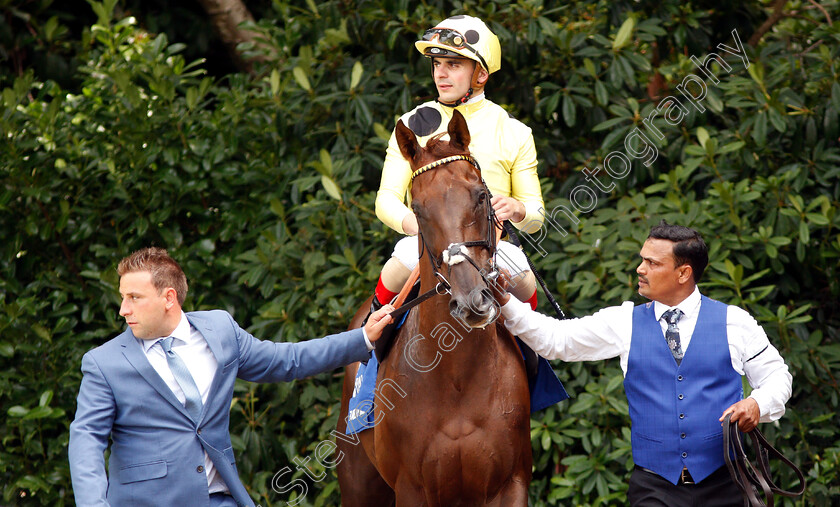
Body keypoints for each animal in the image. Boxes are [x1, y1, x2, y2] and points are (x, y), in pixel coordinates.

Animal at [336, 110, 532, 504]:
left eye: (481, 196)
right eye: (417, 208)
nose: (472, 300)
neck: (456, 378)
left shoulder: (510, 484)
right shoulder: (413, 489)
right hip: (358, 484)